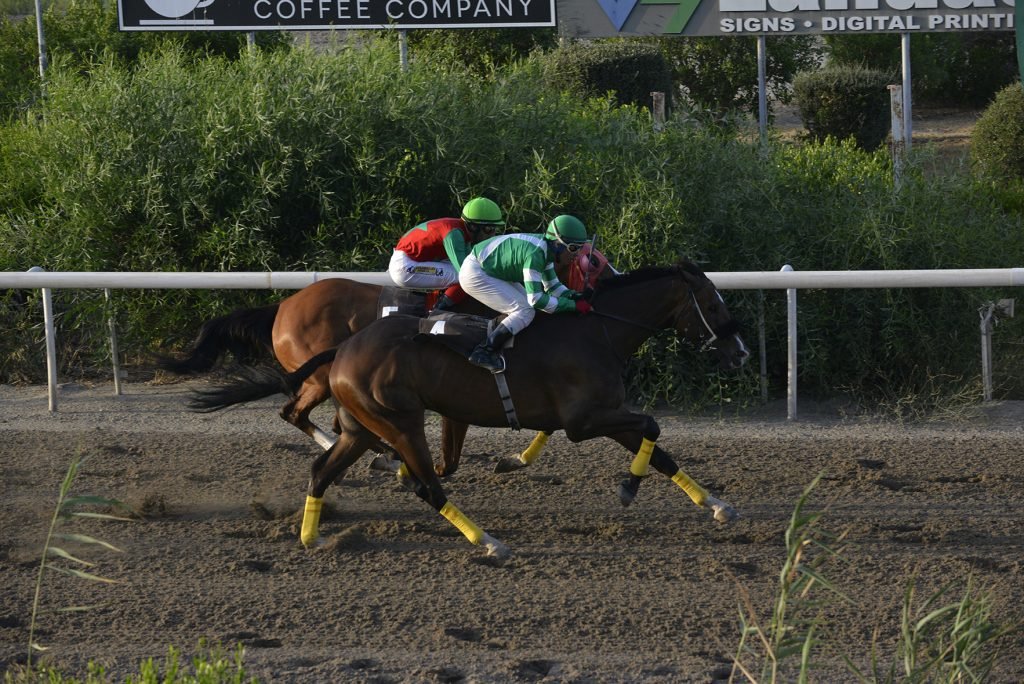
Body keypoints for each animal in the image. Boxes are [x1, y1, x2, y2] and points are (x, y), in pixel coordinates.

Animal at [157, 248, 611, 475]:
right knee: (296, 413)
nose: (599, 285)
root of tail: (283, 305)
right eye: (592, 261)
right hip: (321, 373)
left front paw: (516, 459)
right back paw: (370, 450)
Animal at [190, 261, 750, 559]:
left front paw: (719, 505)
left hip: (362, 425)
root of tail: (343, 350)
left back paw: (314, 536)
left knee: (321, 468)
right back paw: (489, 541)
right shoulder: (584, 420)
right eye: (714, 305)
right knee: (424, 485)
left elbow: (659, 448)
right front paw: (629, 487)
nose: (741, 352)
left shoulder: (603, 411)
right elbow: (651, 426)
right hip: (399, 420)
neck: (597, 328)